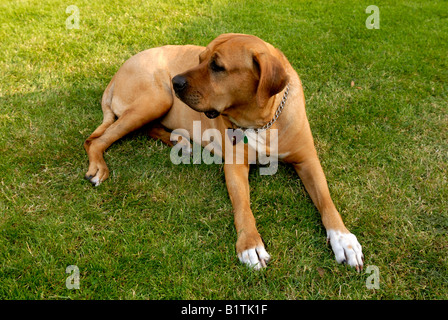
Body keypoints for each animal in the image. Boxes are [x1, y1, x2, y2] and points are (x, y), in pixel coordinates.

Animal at [84, 33, 364, 270]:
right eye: (199, 59)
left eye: (217, 66)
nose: (176, 81)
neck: (263, 120)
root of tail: (116, 73)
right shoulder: (235, 166)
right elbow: (243, 206)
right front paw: (250, 244)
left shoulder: (307, 159)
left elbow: (326, 200)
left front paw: (343, 240)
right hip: (155, 99)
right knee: (94, 140)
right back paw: (98, 167)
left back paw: (179, 141)